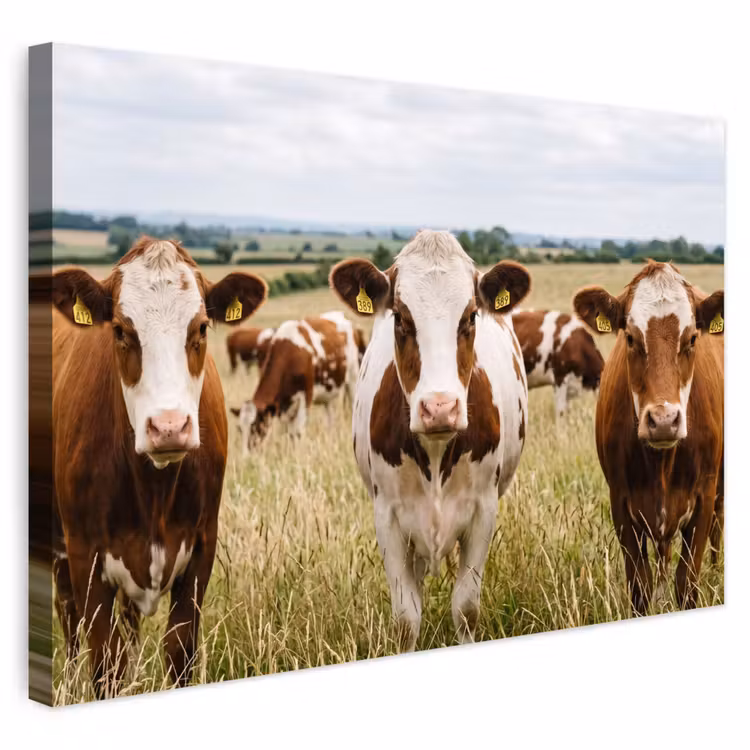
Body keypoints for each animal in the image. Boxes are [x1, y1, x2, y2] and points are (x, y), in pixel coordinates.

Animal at [40, 236, 266, 697]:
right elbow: (105, 662)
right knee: (68, 618)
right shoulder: (85, 553)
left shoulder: (201, 547)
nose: (168, 427)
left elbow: (179, 651)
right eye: (120, 330)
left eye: (201, 328)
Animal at [232, 310, 360, 452]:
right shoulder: (283, 405)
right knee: (330, 419)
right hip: (329, 392)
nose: (246, 455)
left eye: (256, 426)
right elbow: (288, 432)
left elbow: (298, 432)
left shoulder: (306, 396)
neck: (289, 354)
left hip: (353, 379)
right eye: (239, 429)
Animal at [330, 229, 530, 650]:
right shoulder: (387, 516)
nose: (439, 408)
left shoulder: (483, 510)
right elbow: (407, 617)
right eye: (400, 317)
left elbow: (466, 607)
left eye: (470, 316)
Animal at [573, 260, 723, 614]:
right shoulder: (621, 503)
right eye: (630, 337)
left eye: (692, 338)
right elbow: (640, 588)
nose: (664, 421)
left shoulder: (705, 497)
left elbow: (687, 583)